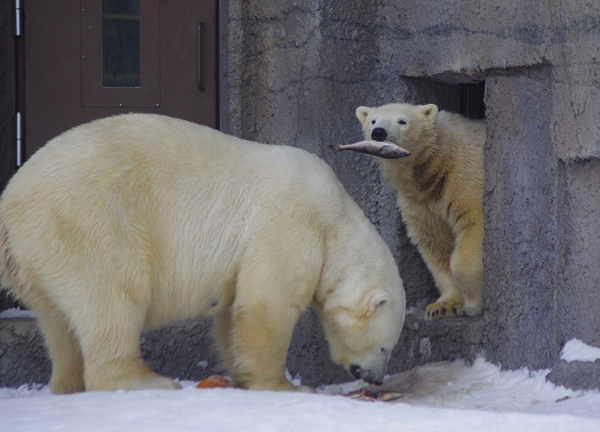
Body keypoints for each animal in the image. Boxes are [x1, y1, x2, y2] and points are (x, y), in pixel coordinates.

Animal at [0, 114, 406, 394]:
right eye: (385, 347)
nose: (376, 379)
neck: (335, 217)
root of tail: (10, 201)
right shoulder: (290, 221)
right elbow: (267, 304)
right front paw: (285, 386)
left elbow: (233, 313)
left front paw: (241, 375)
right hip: (89, 220)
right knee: (112, 297)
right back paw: (147, 380)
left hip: (39, 254)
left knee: (59, 324)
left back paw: (68, 385)